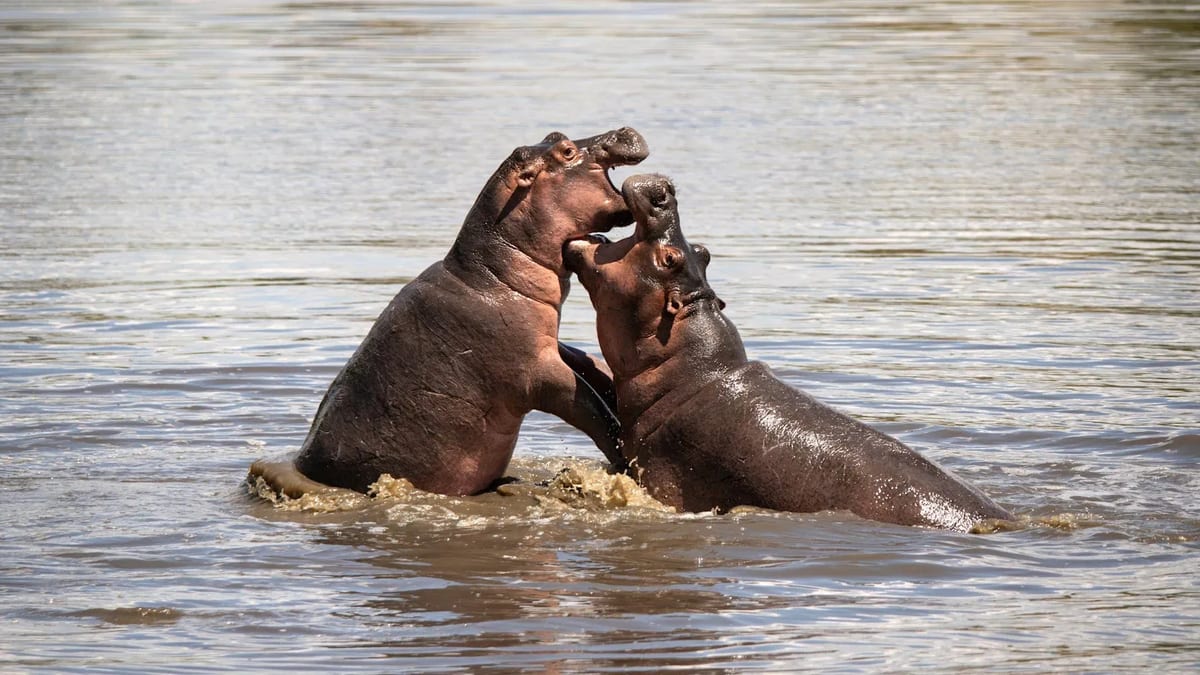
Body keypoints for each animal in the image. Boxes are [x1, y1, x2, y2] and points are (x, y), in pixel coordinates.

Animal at [250, 128, 647, 497]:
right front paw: (623, 455)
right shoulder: (536, 372)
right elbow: (589, 406)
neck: (492, 275)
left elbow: (588, 365)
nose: (623, 130)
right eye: (565, 151)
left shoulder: (549, 344)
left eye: (554, 135)